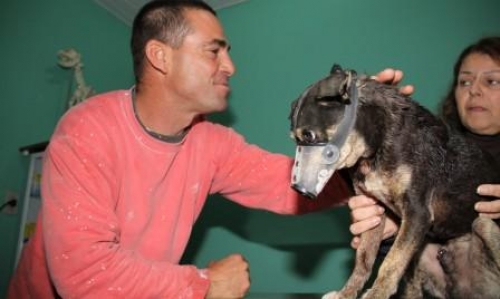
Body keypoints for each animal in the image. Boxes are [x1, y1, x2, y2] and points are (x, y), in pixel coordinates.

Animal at [288, 64, 500, 298]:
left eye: (309, 136)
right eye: (294, 139)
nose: (297, 189)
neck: (377, 144)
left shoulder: (417, 214)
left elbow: (391, 262)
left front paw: (376, 294)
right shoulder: (374, 210)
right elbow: (364, 260)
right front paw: (346, 293)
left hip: (483, 224)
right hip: (423, 250)